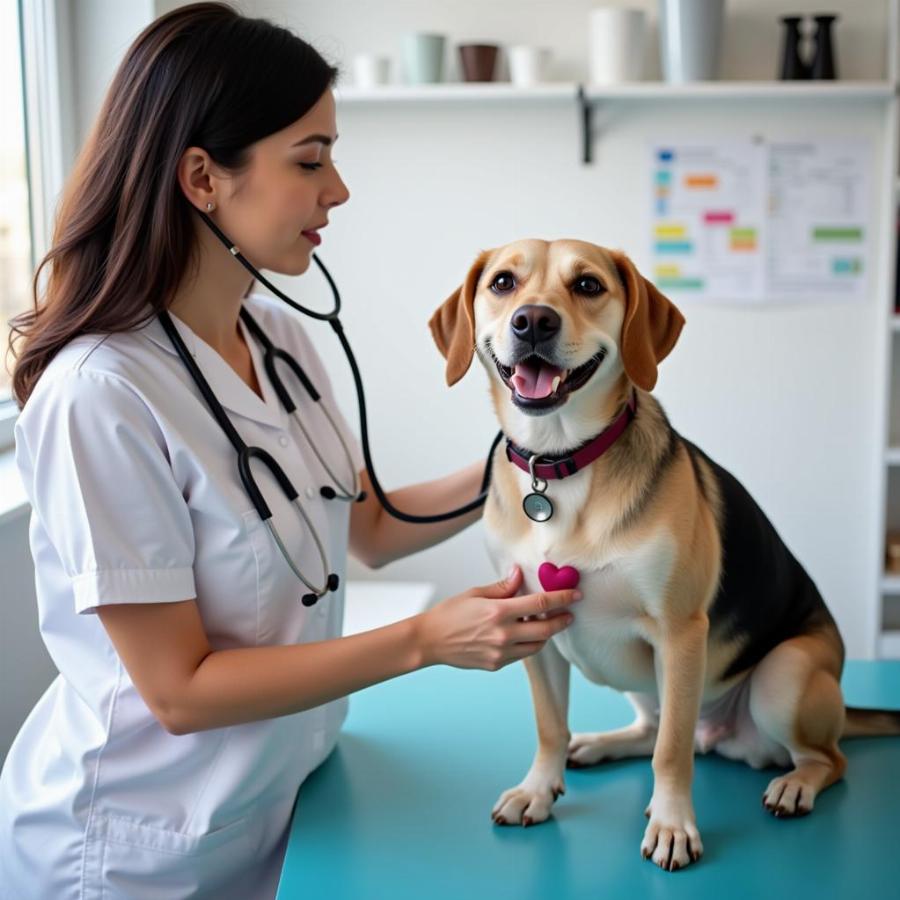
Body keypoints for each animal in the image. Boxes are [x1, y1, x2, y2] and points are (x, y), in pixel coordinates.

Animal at [428, 239, 900, 872]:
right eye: (503, 283)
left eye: (588, 285)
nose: (533, 321)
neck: (561, 462)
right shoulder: (533, 623)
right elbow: (551, 728)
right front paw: (537, 791)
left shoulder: (679, 634)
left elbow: (671, 752)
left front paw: (673, 824)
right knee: (650, 730)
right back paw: (599, 745)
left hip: (784, 678)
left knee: (821, 757)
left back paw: (794, 785)